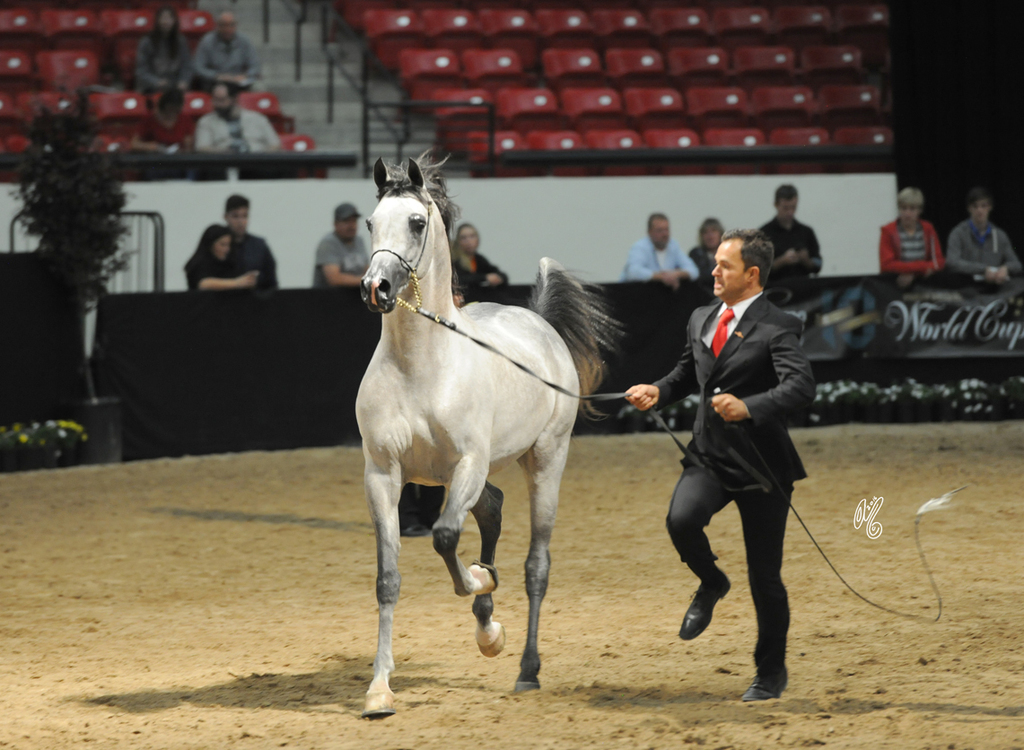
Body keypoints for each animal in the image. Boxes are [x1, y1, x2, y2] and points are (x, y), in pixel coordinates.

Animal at [355, 155, 622, 718]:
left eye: (417, 222)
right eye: (369, 222)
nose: (375, 289)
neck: (420, 366)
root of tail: (540, 323)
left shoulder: (468, 464)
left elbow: (444, 536)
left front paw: (481, 588)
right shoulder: (384, 475)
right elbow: (389, 579)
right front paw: (379, 690)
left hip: (544, 461)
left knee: (535, 565)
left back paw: (525, 667)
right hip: (450, 476)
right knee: (493, 507)